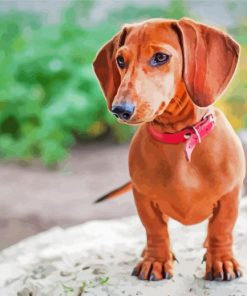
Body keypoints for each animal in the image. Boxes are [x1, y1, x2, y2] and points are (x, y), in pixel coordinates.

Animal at [92, 17, 245, 282]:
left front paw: (221, 260)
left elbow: (221, 228)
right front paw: (155, 260)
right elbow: (155, 230)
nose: (120, 109)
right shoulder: (143, 197)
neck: (180, 138)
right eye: (120, 60)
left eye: (161, 57)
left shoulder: (230, 195)